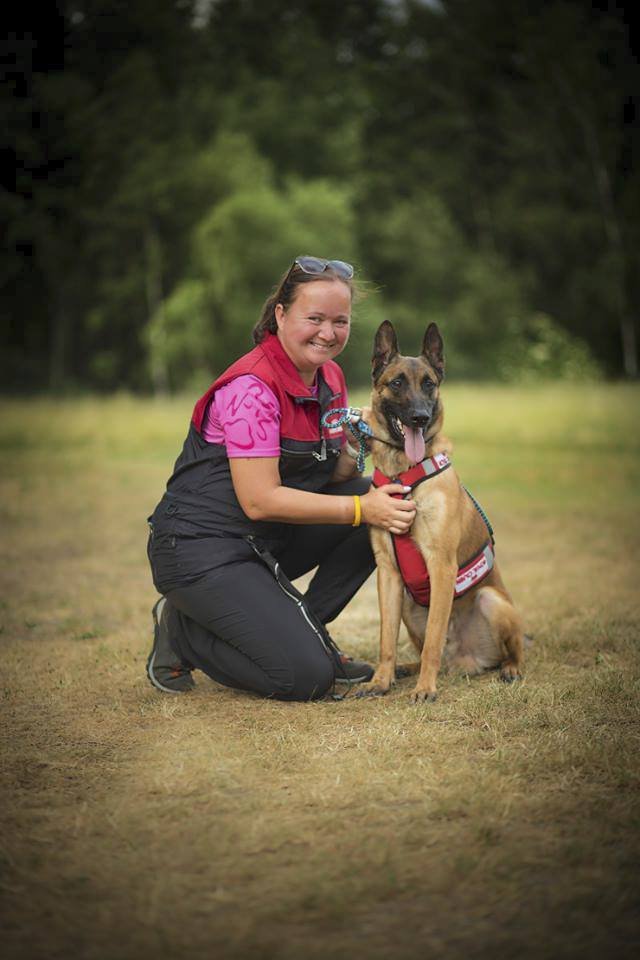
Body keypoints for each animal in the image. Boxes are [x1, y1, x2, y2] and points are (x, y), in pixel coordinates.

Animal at [358, 318, 524, 700]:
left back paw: (509, 669)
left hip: (492, 601)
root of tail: (462, 660)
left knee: (514, 651)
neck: (404, 474)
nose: (420, 417)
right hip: (407, 604)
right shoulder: (388, 573)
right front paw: (381, 680)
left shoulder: (441, 565)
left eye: (429, 384)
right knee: (417, 650)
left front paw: (425, 689)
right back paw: (405, 669)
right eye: (397, 382)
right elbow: (386, 641)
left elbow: (434, 638)